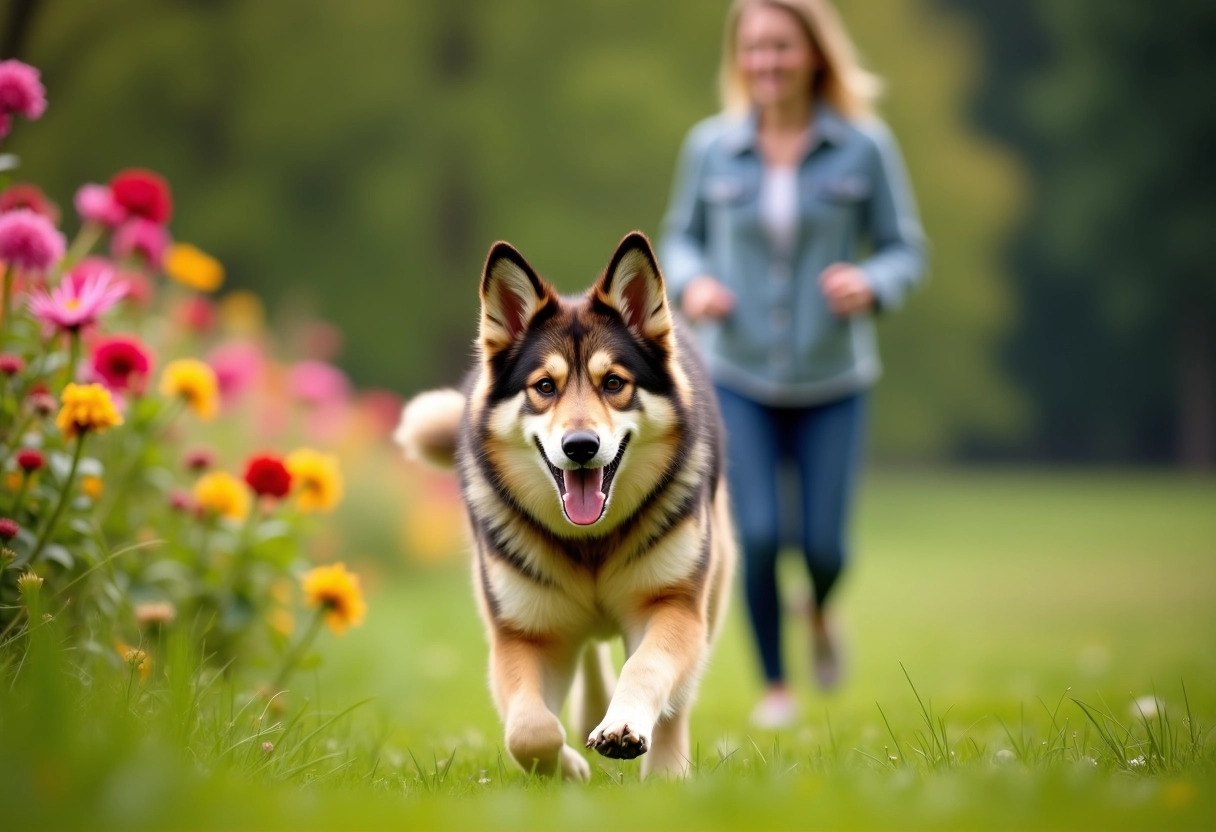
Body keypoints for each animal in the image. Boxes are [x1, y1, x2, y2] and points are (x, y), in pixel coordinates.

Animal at [398, 232, 734, 778]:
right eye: (544, 387)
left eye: (614, 383)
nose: (580, 446)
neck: (590, 544)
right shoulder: (523, 635)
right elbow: (529, 730)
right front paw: (569, 768)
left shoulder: (674, 606)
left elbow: (646, 668)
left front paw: (622, 728)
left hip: (715, 581)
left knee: (677, 699)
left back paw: (665, 769)